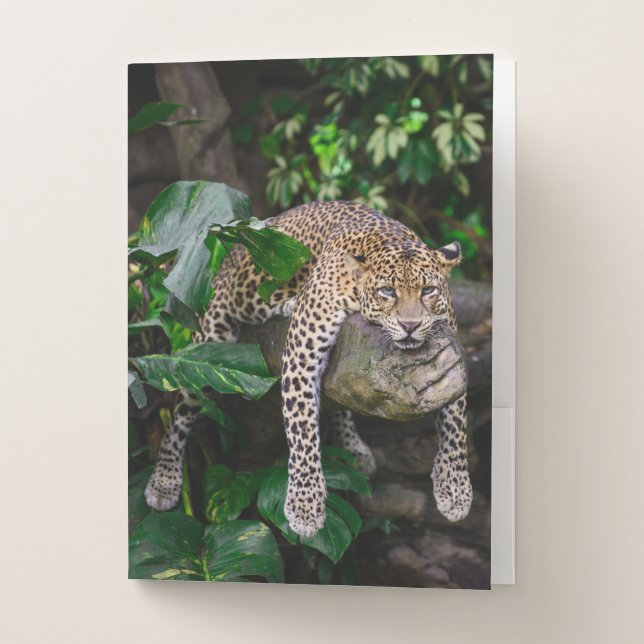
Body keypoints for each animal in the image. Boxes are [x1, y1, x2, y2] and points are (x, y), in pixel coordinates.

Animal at [145, 200, 473, 538]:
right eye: (387, 291)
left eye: (428, 290)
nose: (410, 325)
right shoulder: (301, 355)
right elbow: (302, 430)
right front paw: (305, 506)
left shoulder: (453, 359)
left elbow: (455, 424)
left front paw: (455, 489)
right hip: (208, 339)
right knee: (181, 408)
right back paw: (164, 479)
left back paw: (354, 448)